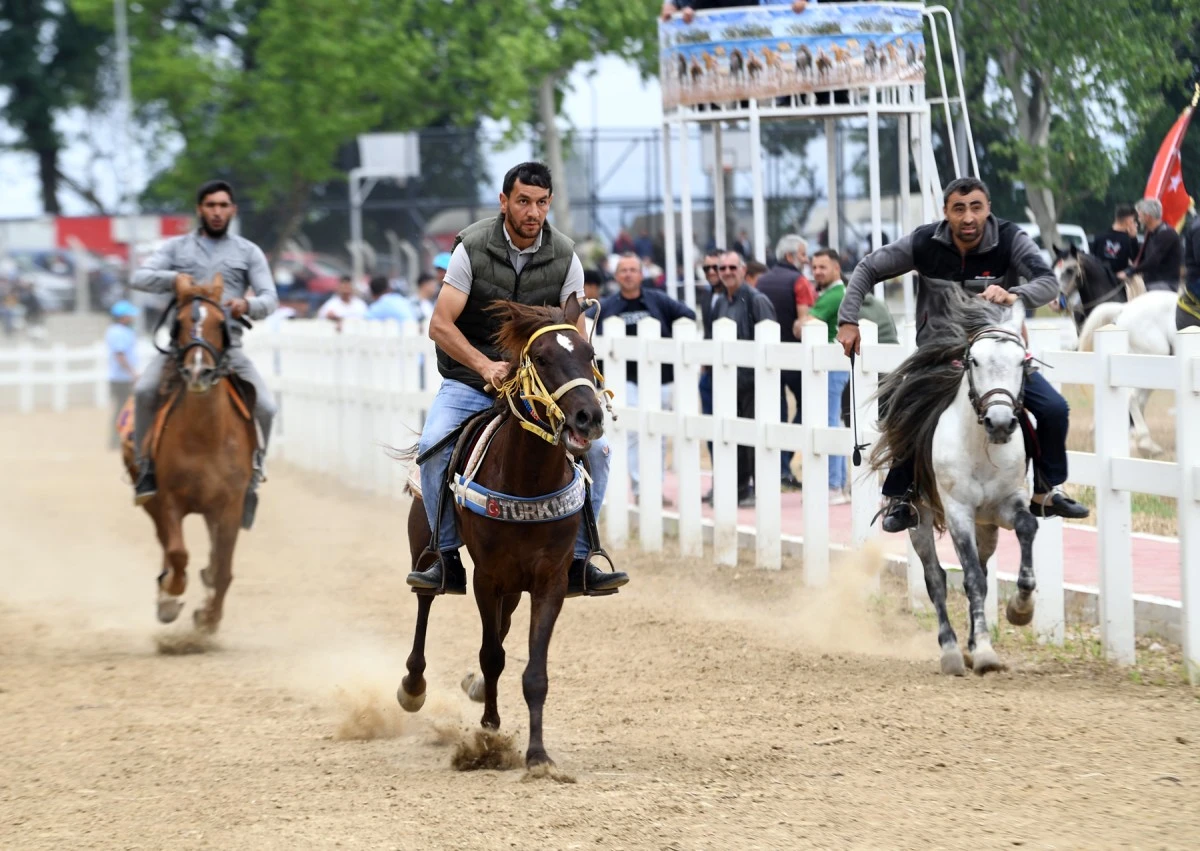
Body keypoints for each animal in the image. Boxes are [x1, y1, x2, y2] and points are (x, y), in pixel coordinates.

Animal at [121, 273, 255, 628]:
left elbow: (224, 567)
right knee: (166, 543)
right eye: (178, 322)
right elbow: (178, 552)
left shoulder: (230, 504)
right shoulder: (169, 499)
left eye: (222, 322)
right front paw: (171, 593)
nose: (199, 372)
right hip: (151, 499)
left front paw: (208, 617)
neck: (204, 437)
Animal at [398, 294, 609, 768]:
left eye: (590, 354)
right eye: (542, 358)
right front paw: (489, 733)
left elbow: (534, 670)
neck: (527, 480)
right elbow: (492, 654)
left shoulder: (550, 579)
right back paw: (413, 687)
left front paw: (538, 756)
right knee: (424, 600)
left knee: (504, 622)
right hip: (424, 547)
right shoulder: (487, 577)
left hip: (517, 583)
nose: (588, 416)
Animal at [868, 291, 1036, 676]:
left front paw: (1020, 608)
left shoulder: (1008, 503)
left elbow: (1026, 528)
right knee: (936, 579)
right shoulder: (958, 511)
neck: (981, 447)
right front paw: (985, 650)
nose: (1000, 422)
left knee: (984, 570)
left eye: (1022, 363)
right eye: (974, 360)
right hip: (920, 520)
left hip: (986, 525)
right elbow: (970, 578)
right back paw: (952, 651)